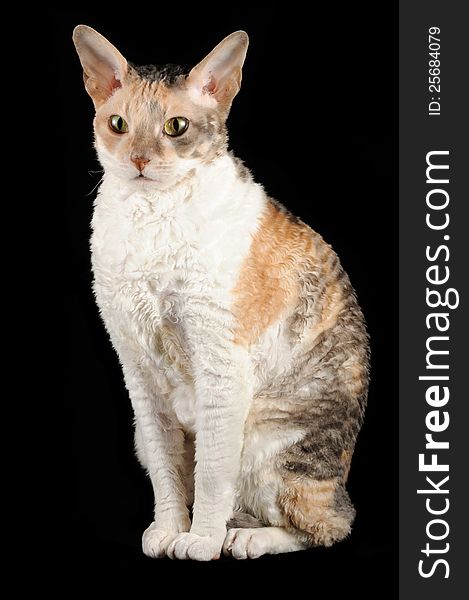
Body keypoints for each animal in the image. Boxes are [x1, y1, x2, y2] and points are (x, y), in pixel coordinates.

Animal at [73, 22, 368, 556]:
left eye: (176, 127)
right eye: (118, 124)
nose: (139, 160)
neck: (150, 216)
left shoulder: (222, 364)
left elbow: (211, 471)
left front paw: (202, 539)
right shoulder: (137, 368)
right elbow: (168, 468)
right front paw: (171, 528)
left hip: (265, 437)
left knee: (328, 523)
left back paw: (247, 537)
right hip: (143, 432)